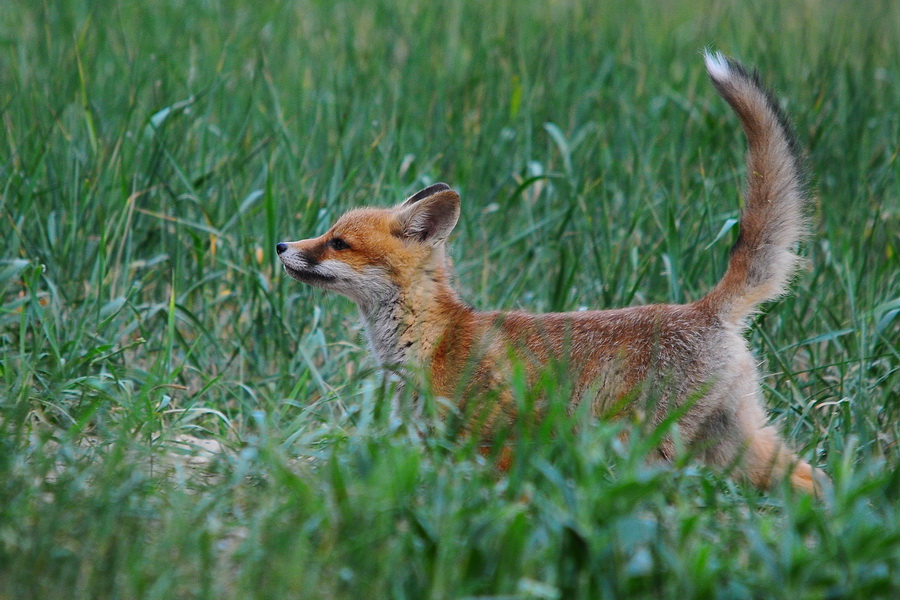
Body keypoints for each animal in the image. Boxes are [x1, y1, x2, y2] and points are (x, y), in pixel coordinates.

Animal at [278, 50, 828, 492]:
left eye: (338, 242)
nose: (281, 245)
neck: (434, 338)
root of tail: (706, 309)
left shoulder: (498, 438)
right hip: (735, 447)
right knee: (816, 483)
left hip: (648, 450)